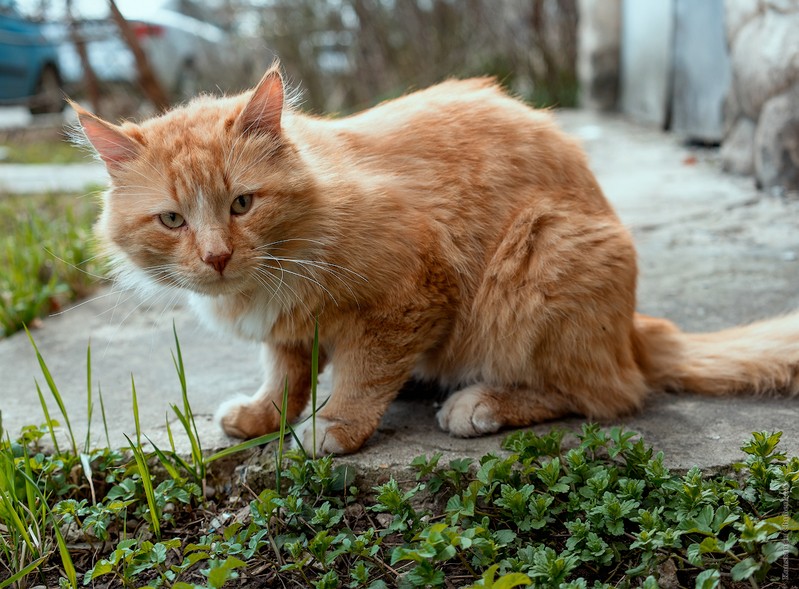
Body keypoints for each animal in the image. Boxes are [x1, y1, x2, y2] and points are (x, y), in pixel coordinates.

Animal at [73, 63, 799, 454]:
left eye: (242, 204)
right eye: (172, 219)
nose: (218, 256)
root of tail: (632, 328)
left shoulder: (412, 292)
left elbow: (363, 375)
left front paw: (337, 426)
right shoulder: (289, 331)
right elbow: (286, 377)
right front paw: (263, 417)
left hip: (539, 257)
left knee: (607, 394)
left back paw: (481, 404)